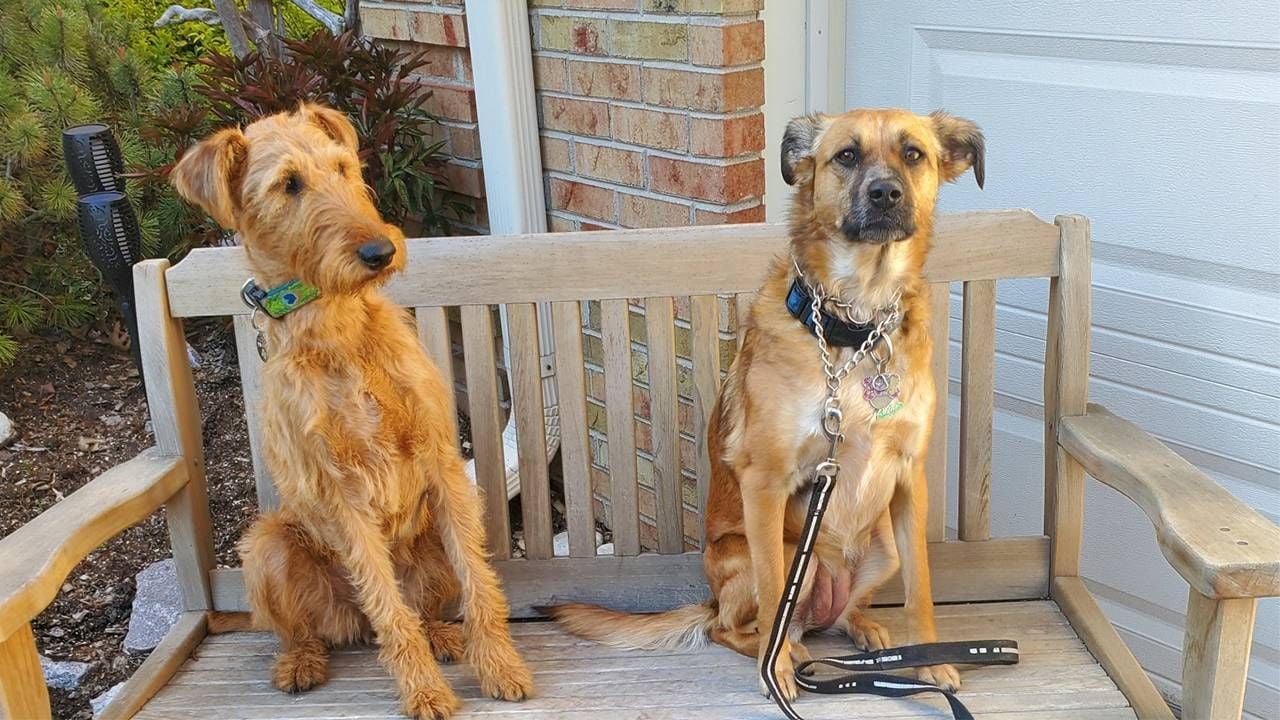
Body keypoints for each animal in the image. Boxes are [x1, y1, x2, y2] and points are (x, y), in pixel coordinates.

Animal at [168, 105, 529, 717]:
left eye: (341, 167)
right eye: (289, 184)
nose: (380, 251)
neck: (336, 331)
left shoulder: (442, 461)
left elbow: (479, 582)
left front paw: (500, 665)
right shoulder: (341, 494)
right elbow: (388, 609)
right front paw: (424, 691)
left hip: (435, 536)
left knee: (425, 606)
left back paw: (444, 634)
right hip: (267, 546)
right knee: (315, 628)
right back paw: (300, 662)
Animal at [547, 109, 977, 696]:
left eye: (914, 154)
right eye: (846, 155)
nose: (886, 193)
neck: (853, 330)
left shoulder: (909, 476)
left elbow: (922, 586)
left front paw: (928, 660)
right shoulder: (766, 485)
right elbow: (776, 592)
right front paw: (777, 672)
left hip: (881, 548)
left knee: (836, 614)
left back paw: (861, 629)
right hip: (779, 557)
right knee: (736, 626)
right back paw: (781, 650)